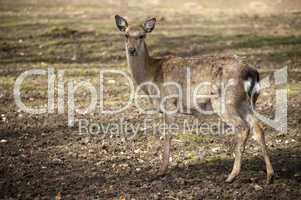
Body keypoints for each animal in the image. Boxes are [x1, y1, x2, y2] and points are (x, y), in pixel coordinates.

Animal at [113, 15, 274, 184]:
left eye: (142, 35)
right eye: (126, 35)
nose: (131, 50)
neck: (151, 75)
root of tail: (253, 72)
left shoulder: (170, 104)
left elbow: (167, 135)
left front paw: (161, 171)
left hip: (224, 101)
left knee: (242, 127)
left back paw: (231, 176)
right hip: (245, 103)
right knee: (258, 127)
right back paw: (269, 176)